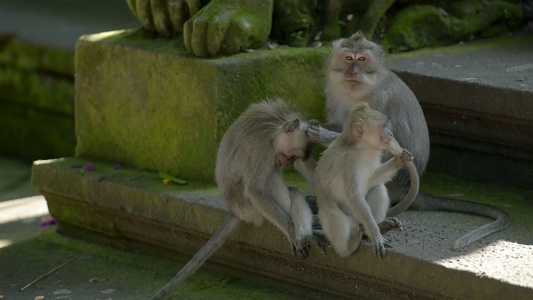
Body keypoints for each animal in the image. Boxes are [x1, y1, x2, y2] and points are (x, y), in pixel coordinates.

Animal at [150, 99, 324, 300]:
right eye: (291, 155)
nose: (287, 163)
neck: (273, 130)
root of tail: (233, 210)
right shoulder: (261, 149)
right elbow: (255, 190)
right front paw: (291, 230)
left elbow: (306, 168)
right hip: (246, 206)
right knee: (269, 179)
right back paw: (304, 231)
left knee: (289, 188)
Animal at [316, 102, 416, 256]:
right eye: (383, 126)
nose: (391, 134)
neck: (361, 148)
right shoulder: (350, 162)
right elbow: (355, 197)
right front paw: (375, 236)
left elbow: (371, 181)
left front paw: (400, 160)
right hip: (351, 221)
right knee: (329, 207)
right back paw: (348, 247)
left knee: (378, 188)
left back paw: (380, 227)